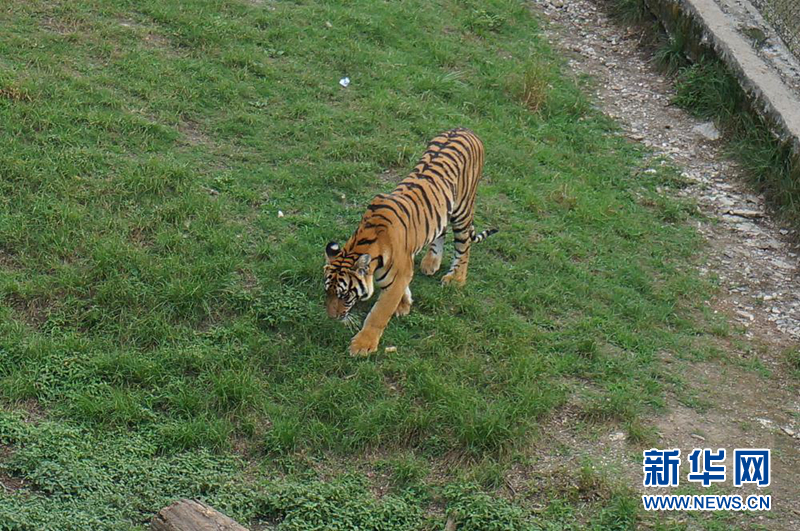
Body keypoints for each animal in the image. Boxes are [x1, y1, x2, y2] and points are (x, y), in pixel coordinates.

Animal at [322, 127, 496, 356]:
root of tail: (465, 129)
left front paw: (362, 345)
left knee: (464, 245)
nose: (332, 317)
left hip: (463, 209)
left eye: (344, 296)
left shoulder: (398, 274)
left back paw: (456, 279)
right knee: (441, 232)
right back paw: (431, 263)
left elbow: (379, 314)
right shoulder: (402, 269)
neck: (364, 242)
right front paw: (404, 304)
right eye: (328, 292)